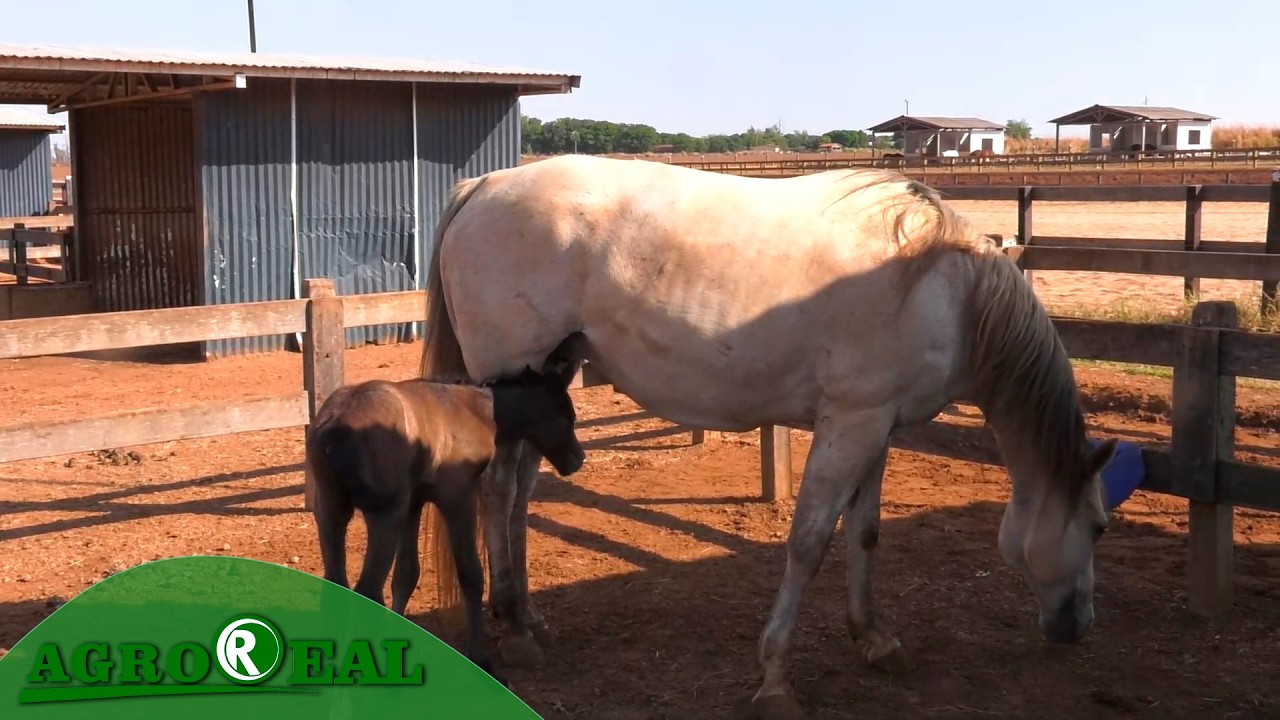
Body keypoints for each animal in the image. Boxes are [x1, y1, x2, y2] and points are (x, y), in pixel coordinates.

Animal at [304, 337, 588, 684]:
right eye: (566, 416)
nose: (577, 459)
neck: (479, 411)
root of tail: (333, 428)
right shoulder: (458, 496)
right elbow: (470, 574)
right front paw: (482, 660)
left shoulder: (414, 503)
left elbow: (406, 575)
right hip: (383, 516)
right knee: (367, 590)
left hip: (332, 512)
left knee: (338, 584)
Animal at [416, 154, 1116, 720]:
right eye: (1100, 526)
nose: (1079, 626)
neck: (946, 290)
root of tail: (486, 185)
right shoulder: (849, 426)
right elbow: (808, 543)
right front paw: (776, 677)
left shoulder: (876, 427)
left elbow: (865, 533)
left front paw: (874, 638)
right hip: (510, 382)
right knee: (498, 494)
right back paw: (514, 632)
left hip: (546, 387)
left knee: (519, 497)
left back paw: (528, 615)